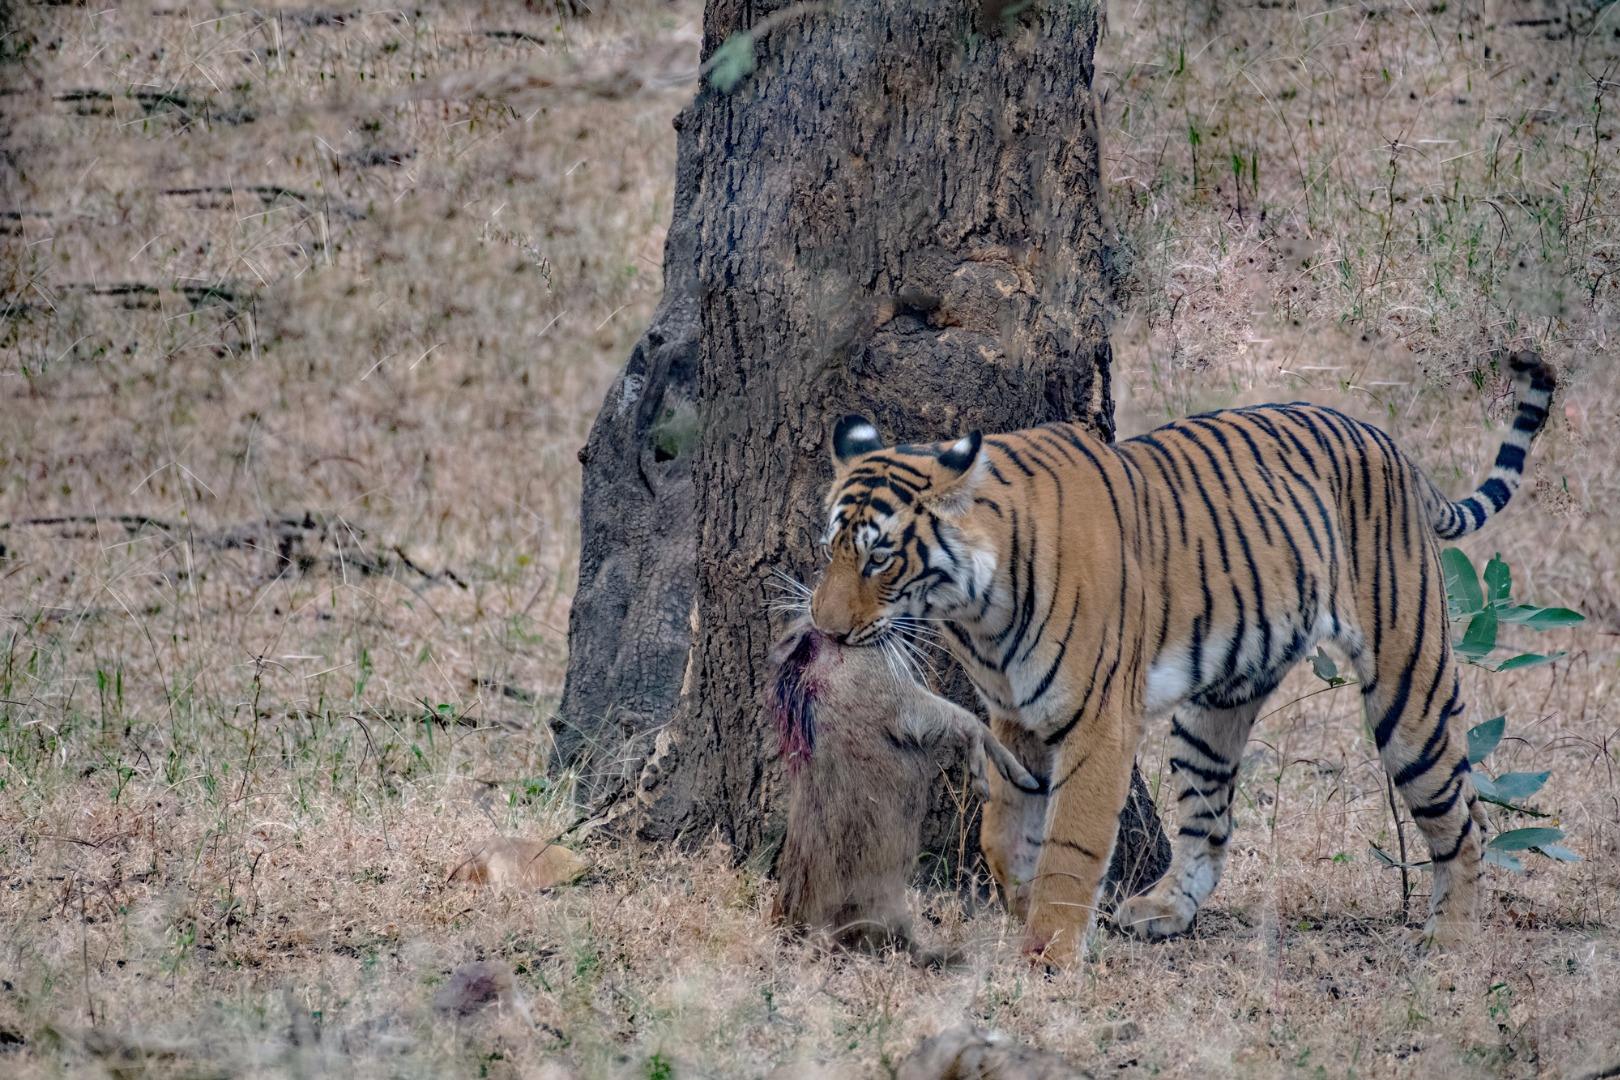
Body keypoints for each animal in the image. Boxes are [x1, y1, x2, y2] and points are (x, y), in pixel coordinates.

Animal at [810, 352, 1555, 965]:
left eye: (880, 556)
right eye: (832, 548)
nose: (825, 629)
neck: (978, 610)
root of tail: (1391, 445)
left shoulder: (1098, 722)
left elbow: (1072, 842)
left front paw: (1049, 952)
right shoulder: (1016, 718)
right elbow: (1002, 829)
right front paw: (1021, 907)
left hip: (1409, 688)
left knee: (1465, 816)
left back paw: (1451, 938)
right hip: (1214, 710)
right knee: (1212, 820)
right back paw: (1163, 910)